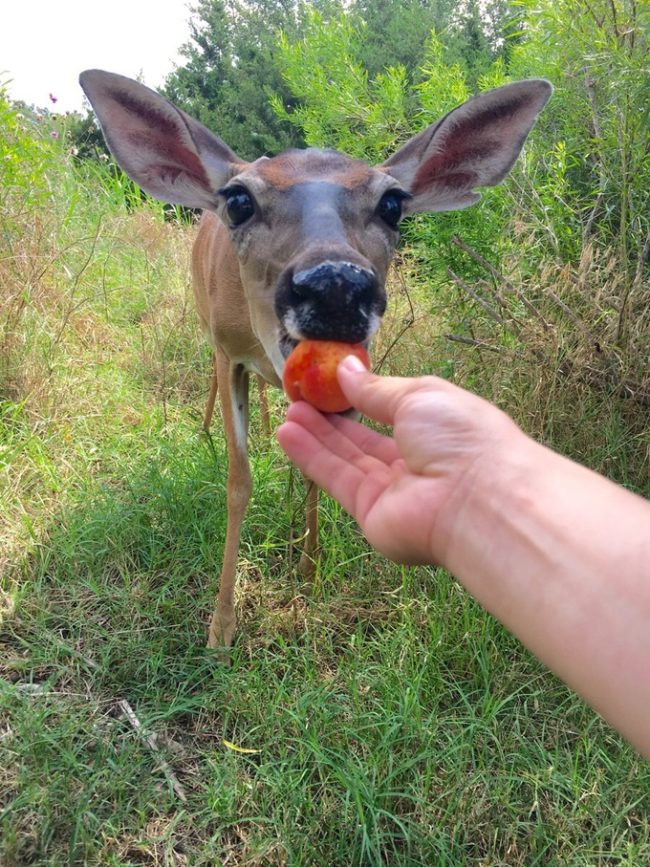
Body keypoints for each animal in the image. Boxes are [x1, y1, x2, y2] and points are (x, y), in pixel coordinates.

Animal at [78, 71, 548, 648]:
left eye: (392, 204)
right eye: (239, 200)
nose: (336, 284)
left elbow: (311, 467)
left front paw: (310, 567)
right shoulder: (231, 351)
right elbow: (238, 482)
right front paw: (222, 625)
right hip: (207, 329)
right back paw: (207, 430)